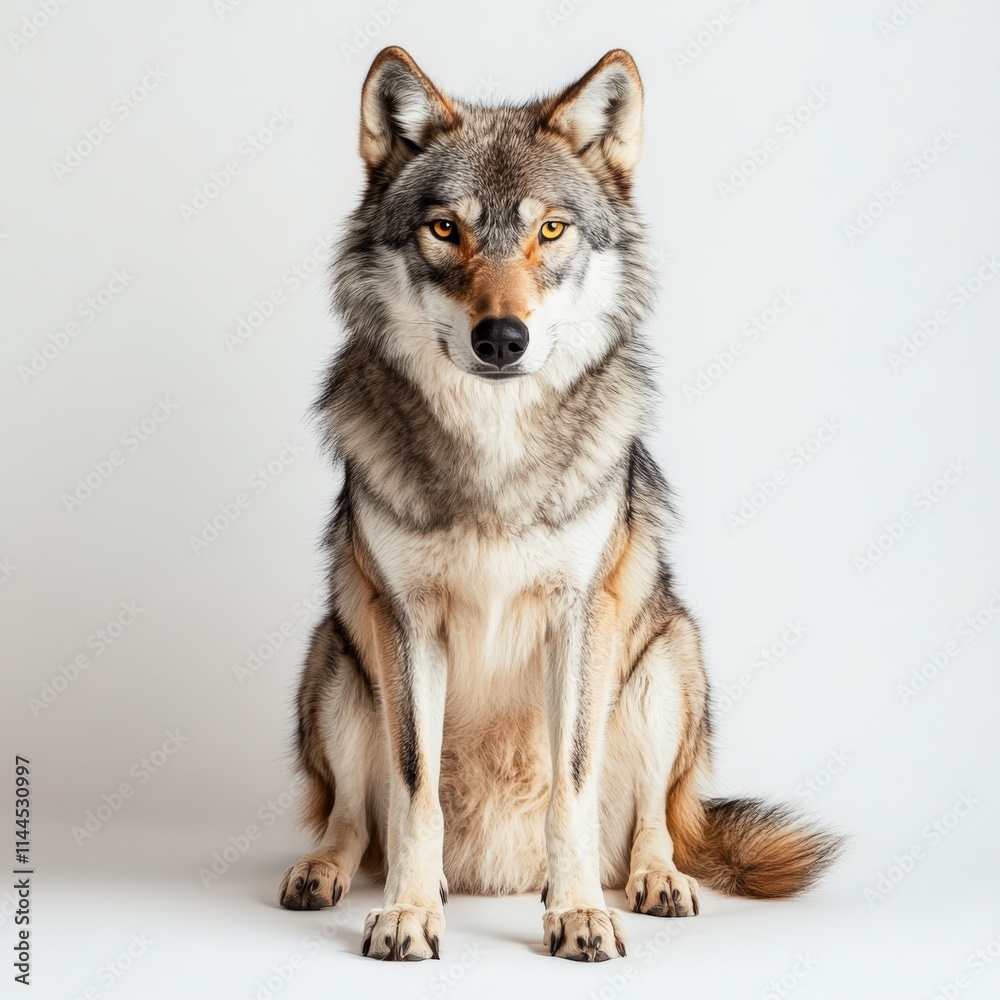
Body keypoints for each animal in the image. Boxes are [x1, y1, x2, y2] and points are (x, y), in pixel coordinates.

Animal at [278, 46, 840, 962]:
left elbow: (570, 790)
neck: (495, 450)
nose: (502, 339)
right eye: (446, 229)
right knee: (352, 820)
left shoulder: (579, 614)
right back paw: (333, 874)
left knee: (655, 822)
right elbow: (412, 789)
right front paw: (408, 912)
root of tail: (492, 876)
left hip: (667, 659)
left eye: (550, 230)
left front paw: (576, 912)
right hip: (336, 662)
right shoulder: (406, 618)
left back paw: (653, 882)